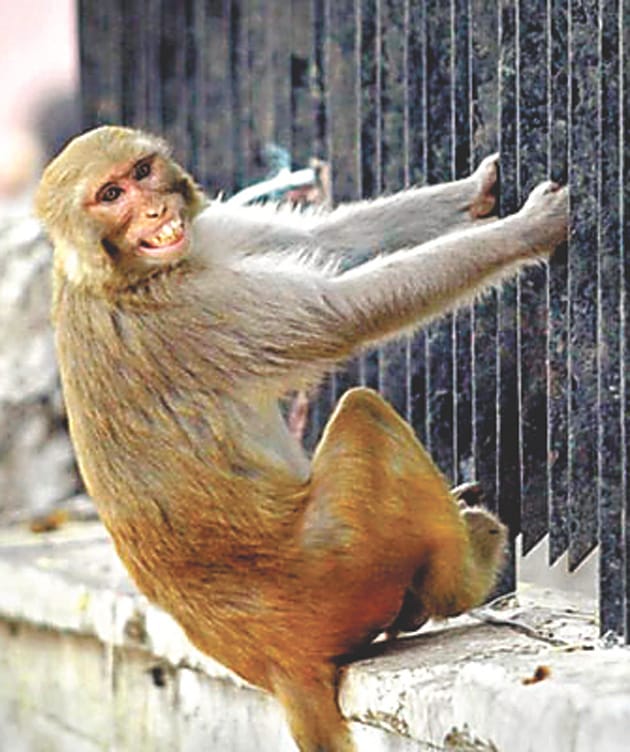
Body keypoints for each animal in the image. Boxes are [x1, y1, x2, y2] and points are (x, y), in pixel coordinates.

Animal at [35, 126, 567, 752]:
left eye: (142, 172)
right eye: (111, 195)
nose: (155, 211)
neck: (116, 275)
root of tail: (277, 662)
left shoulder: (204, 240)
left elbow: (328, 238)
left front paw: (476, 190)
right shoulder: (197, 311)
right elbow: (343, 311)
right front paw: (530, 229)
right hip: (343, 568)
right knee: (364, 418)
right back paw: (462, 581)